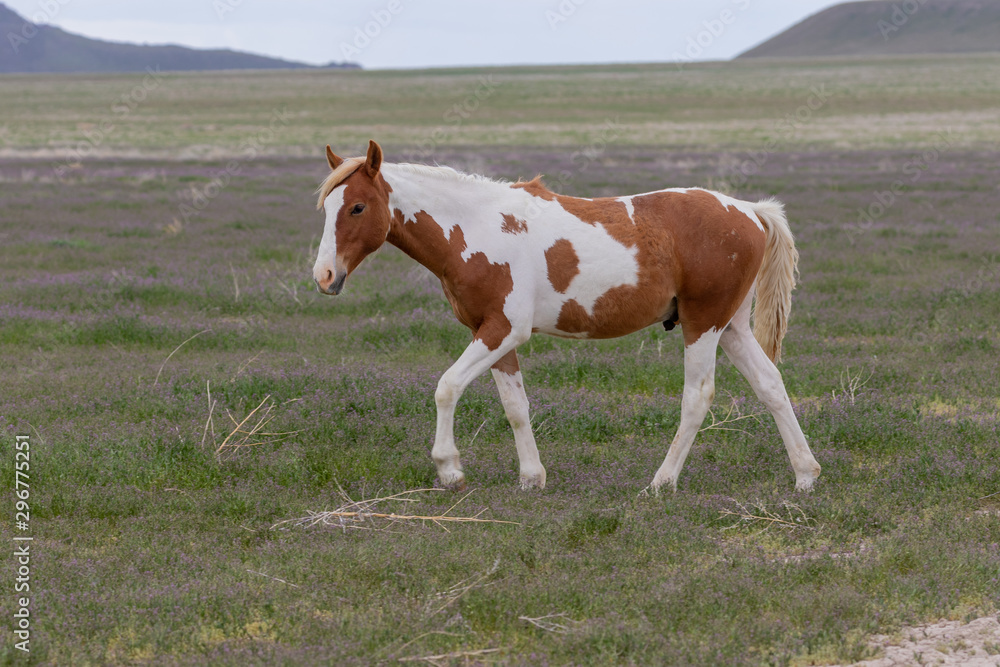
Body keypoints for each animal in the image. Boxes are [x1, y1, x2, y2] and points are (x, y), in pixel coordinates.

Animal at [312, 141, 820, 494]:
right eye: (327, 207)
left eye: (357, 206)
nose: (324, 275)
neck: (475, 228)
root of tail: (749, 211)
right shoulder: (491, 335)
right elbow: (515, 407)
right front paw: (531, 478)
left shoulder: (503, 331)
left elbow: (447, 387)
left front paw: (449, 468)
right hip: (730, 328)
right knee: (771, 386)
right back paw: (805, 475)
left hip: (703, 325)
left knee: (698, 398)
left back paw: (662, 482)